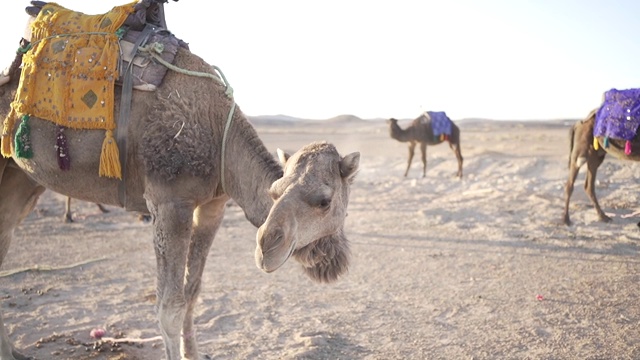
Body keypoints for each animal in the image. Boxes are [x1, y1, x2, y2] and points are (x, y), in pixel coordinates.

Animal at [0, 19, 360, 360]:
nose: (266, 246)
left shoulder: (213, 205)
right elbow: (169, 306)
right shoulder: (169, 202)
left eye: (324, 201)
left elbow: (192, 292)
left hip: (20, 176)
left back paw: (14, 350)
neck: (219, 134)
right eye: (275, 192)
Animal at [564, 88, 640, 225]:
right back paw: (566, 220)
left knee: (588, 186)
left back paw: (603, 216)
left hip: (595, 155)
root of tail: (578, 124)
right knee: (571, 183)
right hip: (580, 151)